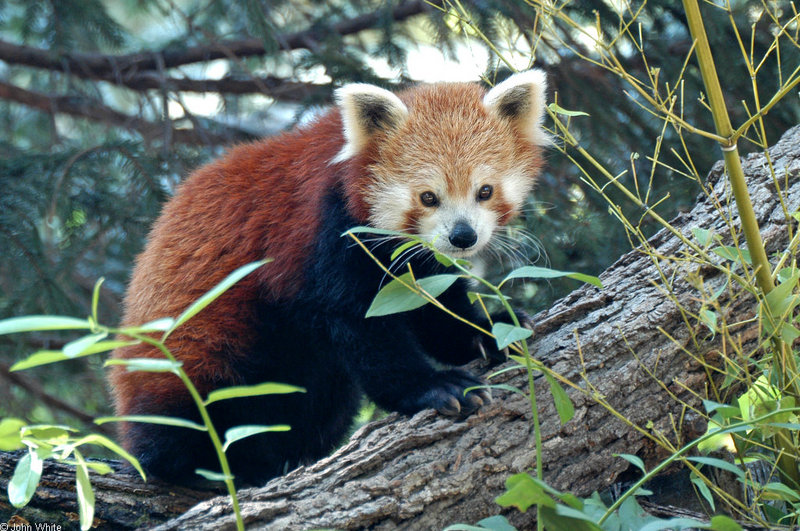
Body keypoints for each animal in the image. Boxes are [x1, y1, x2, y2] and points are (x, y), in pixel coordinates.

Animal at [109, 69, 552, 486]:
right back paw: (224, 468)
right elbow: (358, 324)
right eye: (428, 197)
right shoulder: (321, 232)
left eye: (485, 191)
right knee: (188, 416)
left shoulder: (415, 261)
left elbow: (433, 309)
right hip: (199, 351)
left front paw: (492, 329)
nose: (463, 237)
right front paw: (433, 388)